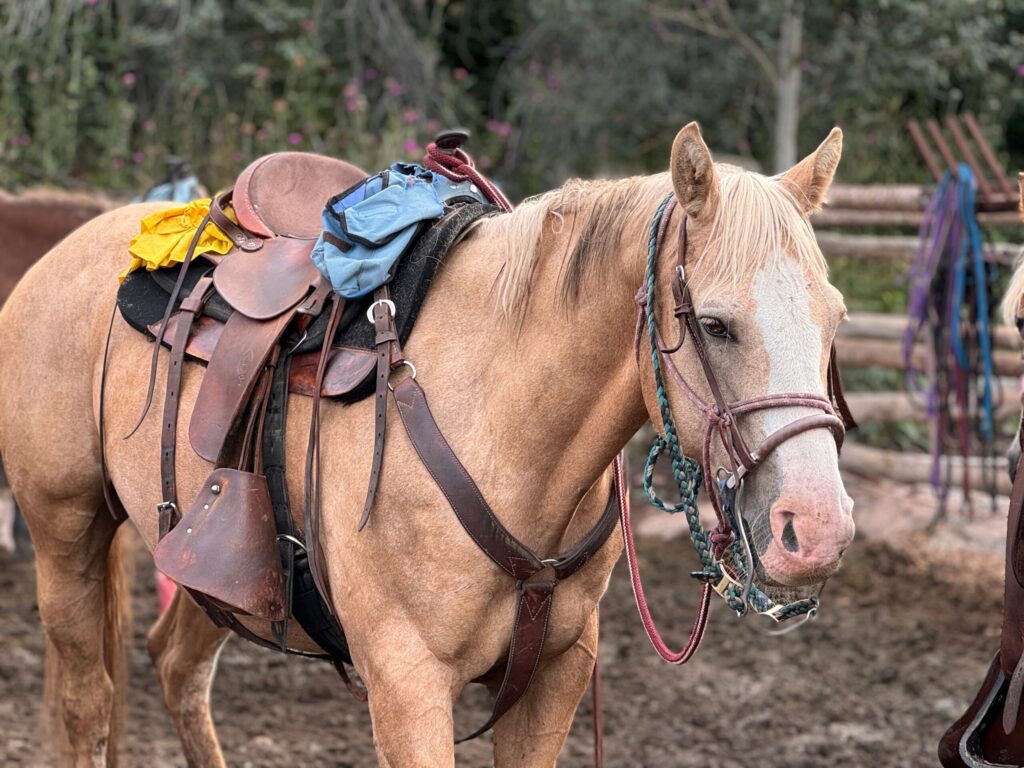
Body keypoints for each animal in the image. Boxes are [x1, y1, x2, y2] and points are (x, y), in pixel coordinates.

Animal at [0, 121, 854, 767]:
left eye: (836, 317)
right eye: (715, 324)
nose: (816, 531)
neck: (507, 427)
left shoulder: (555, 677)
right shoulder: (407, 687)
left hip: (221, 567)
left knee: (177, 670)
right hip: (67, 533)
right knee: (87, 703)